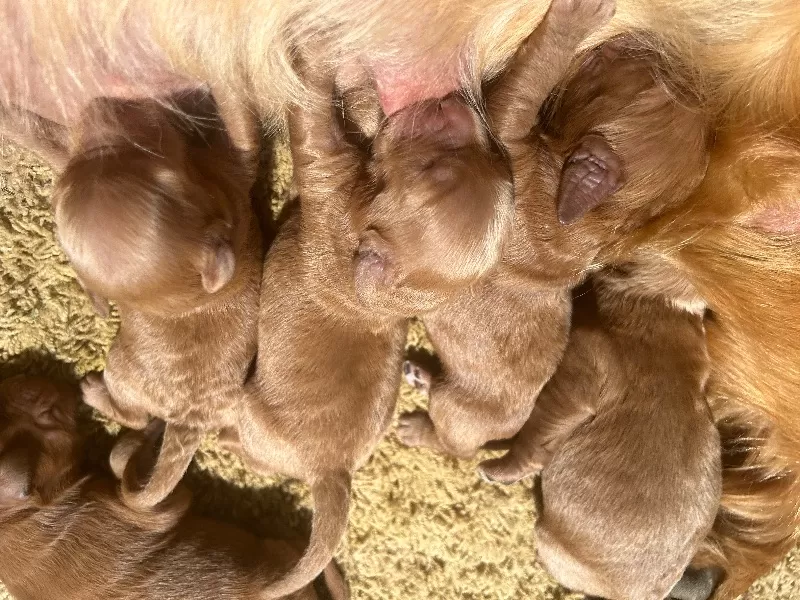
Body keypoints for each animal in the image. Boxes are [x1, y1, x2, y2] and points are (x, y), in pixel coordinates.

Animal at [0, 376, 346, 600]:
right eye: (48, 414)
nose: (38, 376)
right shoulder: (151, 508)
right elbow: (122, 457)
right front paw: (153, 429)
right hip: (278, 554)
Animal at [50, 94, 262, 510]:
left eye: (163, 170)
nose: (100, 106)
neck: (184, 298)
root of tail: (188, 420)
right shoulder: (231, 175)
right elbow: (244, 135)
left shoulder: (231, 175)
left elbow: (242, 135)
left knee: (138, 419)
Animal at [396, 37, 708, 460]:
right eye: (662, 76)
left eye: (648, 78)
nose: (637, 40)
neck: (595, 222)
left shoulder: (505, 144)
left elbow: (525, 84)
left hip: (456, 412)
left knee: (455, 445)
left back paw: (415, 427)